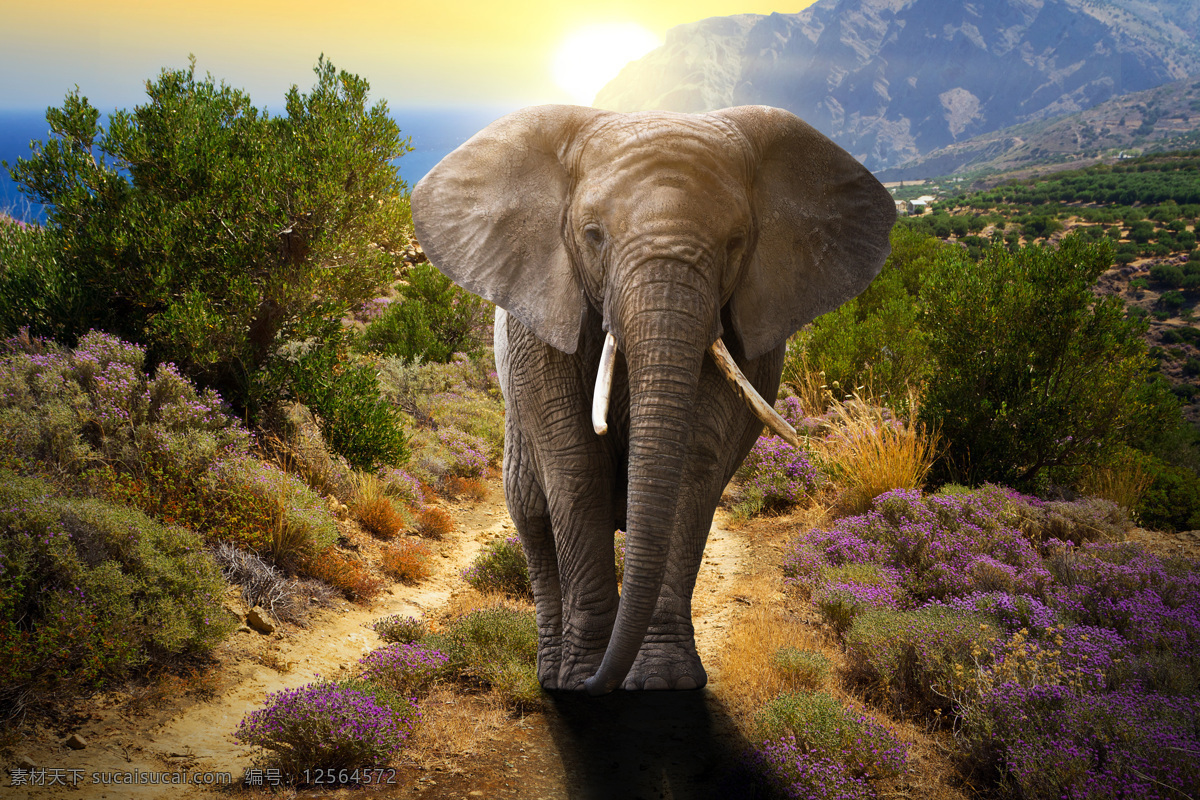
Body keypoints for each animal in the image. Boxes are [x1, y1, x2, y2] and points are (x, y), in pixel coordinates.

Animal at [411, 105, 895, 694]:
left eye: (736, 242)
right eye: (593, 235)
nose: (598, 685)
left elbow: (692, 465)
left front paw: (664, 682)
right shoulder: (538, 322)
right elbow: (575, 467)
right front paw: (581, 680)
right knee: (531, 512)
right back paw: (552, 675)